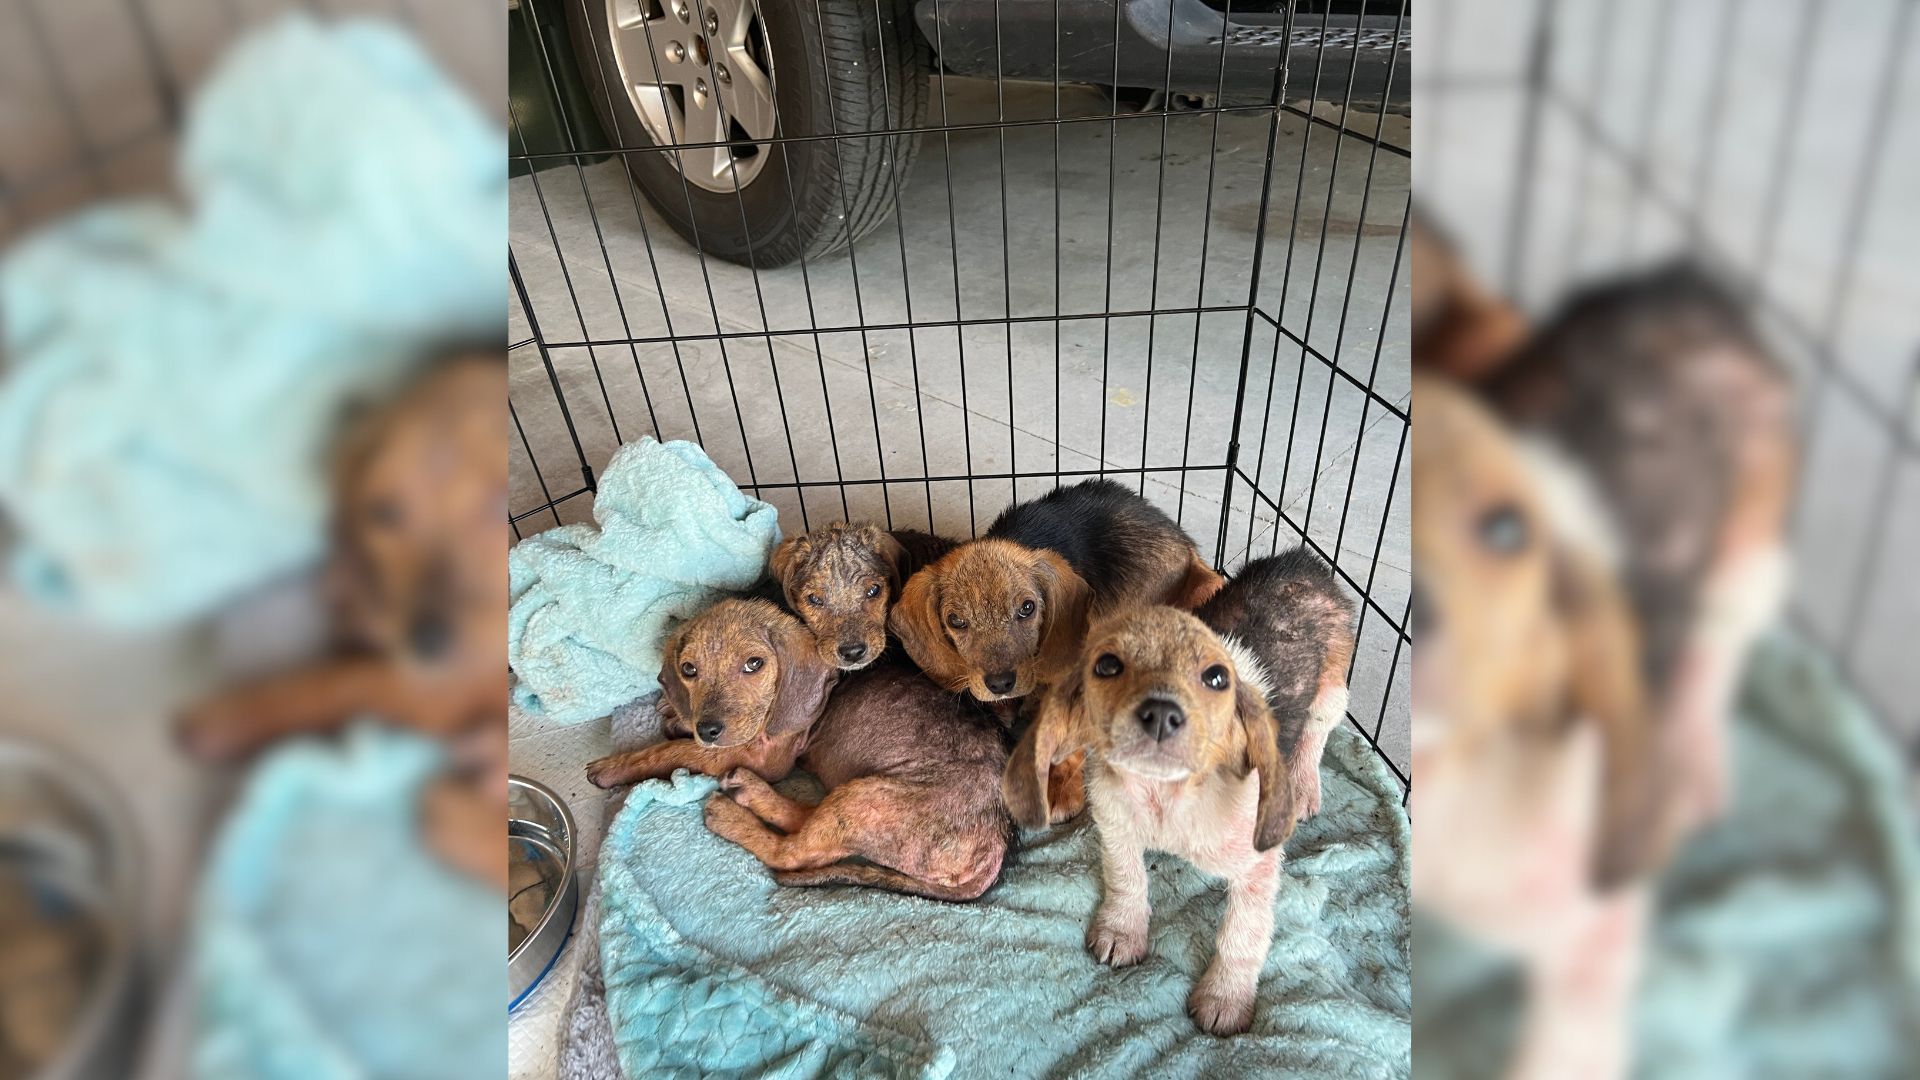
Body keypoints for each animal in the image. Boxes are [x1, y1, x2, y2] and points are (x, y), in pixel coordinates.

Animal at [702, 657, 1006, 899]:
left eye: (751, 666)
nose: (707, 729)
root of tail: (996, 847)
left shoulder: (772, 751)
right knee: (804, 819)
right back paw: (751, 791)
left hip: (867, 800)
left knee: (790, 853)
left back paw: (731, 817)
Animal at [1006, 580, 1351, 1037]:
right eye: (1108, 666)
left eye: (1216, 677)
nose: (1161, 714)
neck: (1165, 795)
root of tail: (1307, 566)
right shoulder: (1115, 824)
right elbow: (1126, 878)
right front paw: (1122, 930)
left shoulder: (1257, 868)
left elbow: (1242, 935)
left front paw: (1225, 998)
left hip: (1332, 690)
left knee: (1317, 731)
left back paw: (1304, 785)